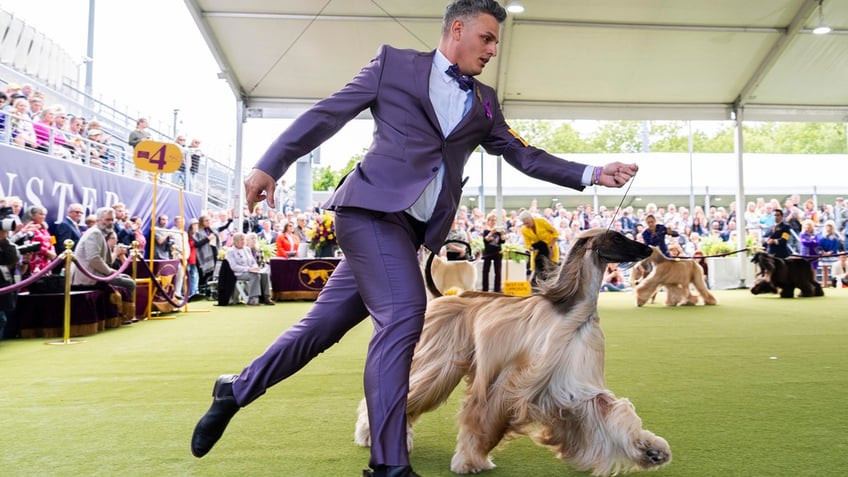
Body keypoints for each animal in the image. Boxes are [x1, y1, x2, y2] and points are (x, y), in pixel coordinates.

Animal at [352, 229, 668, 474]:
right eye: (617, 237)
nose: (647, 248)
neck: (572, 313)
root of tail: (444, 297)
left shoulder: (573, 385)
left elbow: (610, 409)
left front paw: (650, 450)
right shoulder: (512, 380)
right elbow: (483, 418)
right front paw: (469, 461)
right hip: (437, 363)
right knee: (407, 393)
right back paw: (369, 433)